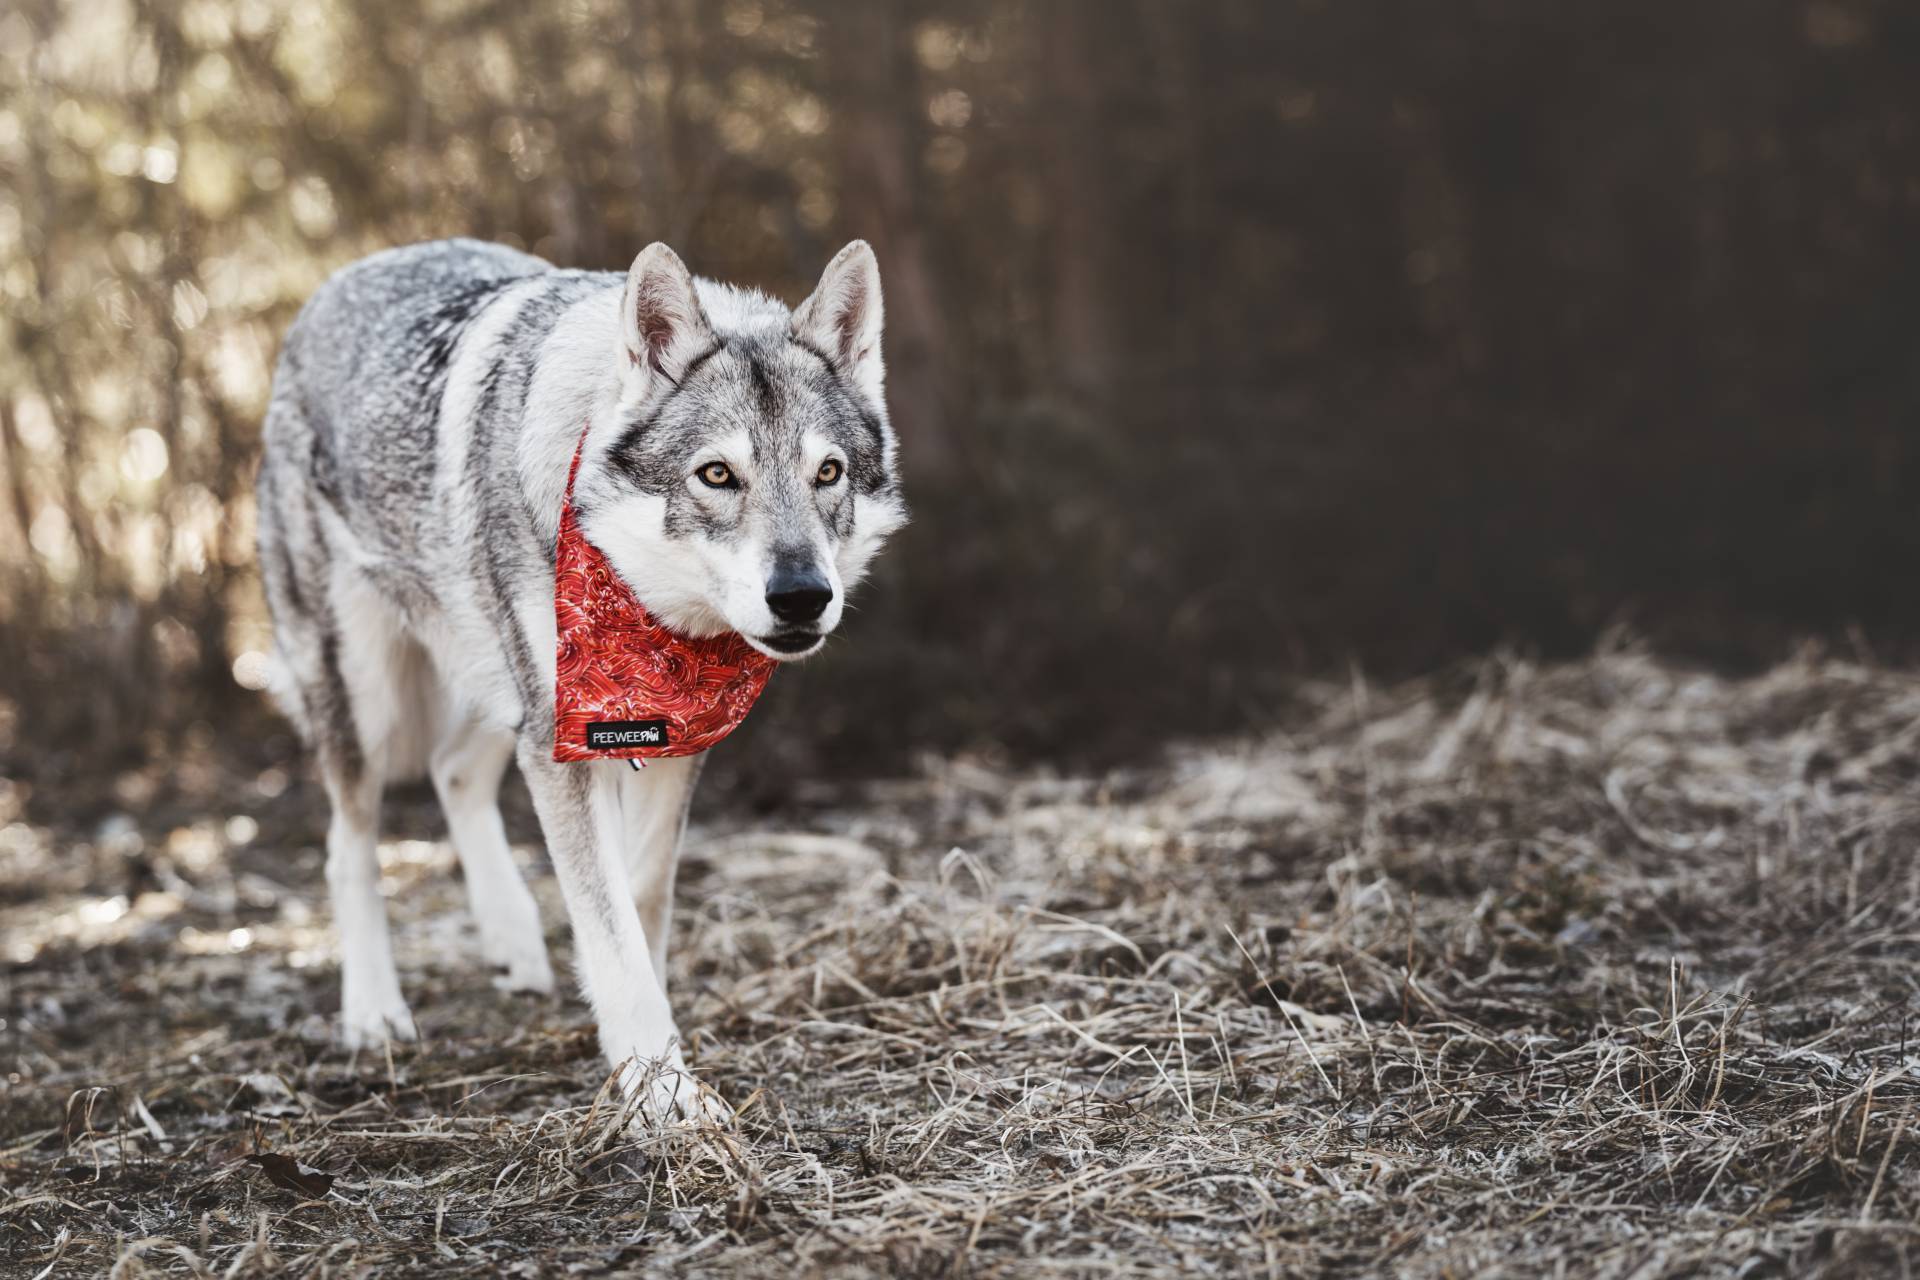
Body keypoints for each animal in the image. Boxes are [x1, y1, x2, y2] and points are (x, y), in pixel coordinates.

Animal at [255, 237, 906, 1114]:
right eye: (717, 475)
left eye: (828, 473)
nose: (803, 595)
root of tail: (341, 279)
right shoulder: (567, 743)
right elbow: (610, 926)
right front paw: (665, 1099)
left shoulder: (663, 741)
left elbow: (640, 901)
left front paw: (644, 1058)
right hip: (374, 697)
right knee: (347, 843)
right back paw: (373, 1012)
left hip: (500, 691)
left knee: (453, 773)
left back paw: (514, 944)